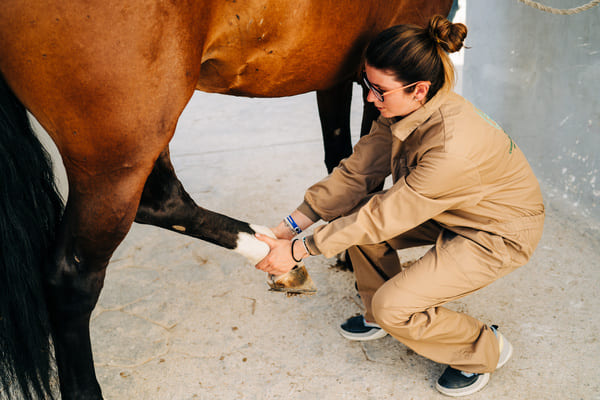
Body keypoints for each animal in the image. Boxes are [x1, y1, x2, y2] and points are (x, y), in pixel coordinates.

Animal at [0, 1, 454, 398]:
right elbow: (369, 161)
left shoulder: (339, 71)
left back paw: (276, 257)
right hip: (120, 152)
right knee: (73, 276)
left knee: (164, 202)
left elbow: (343, 157)